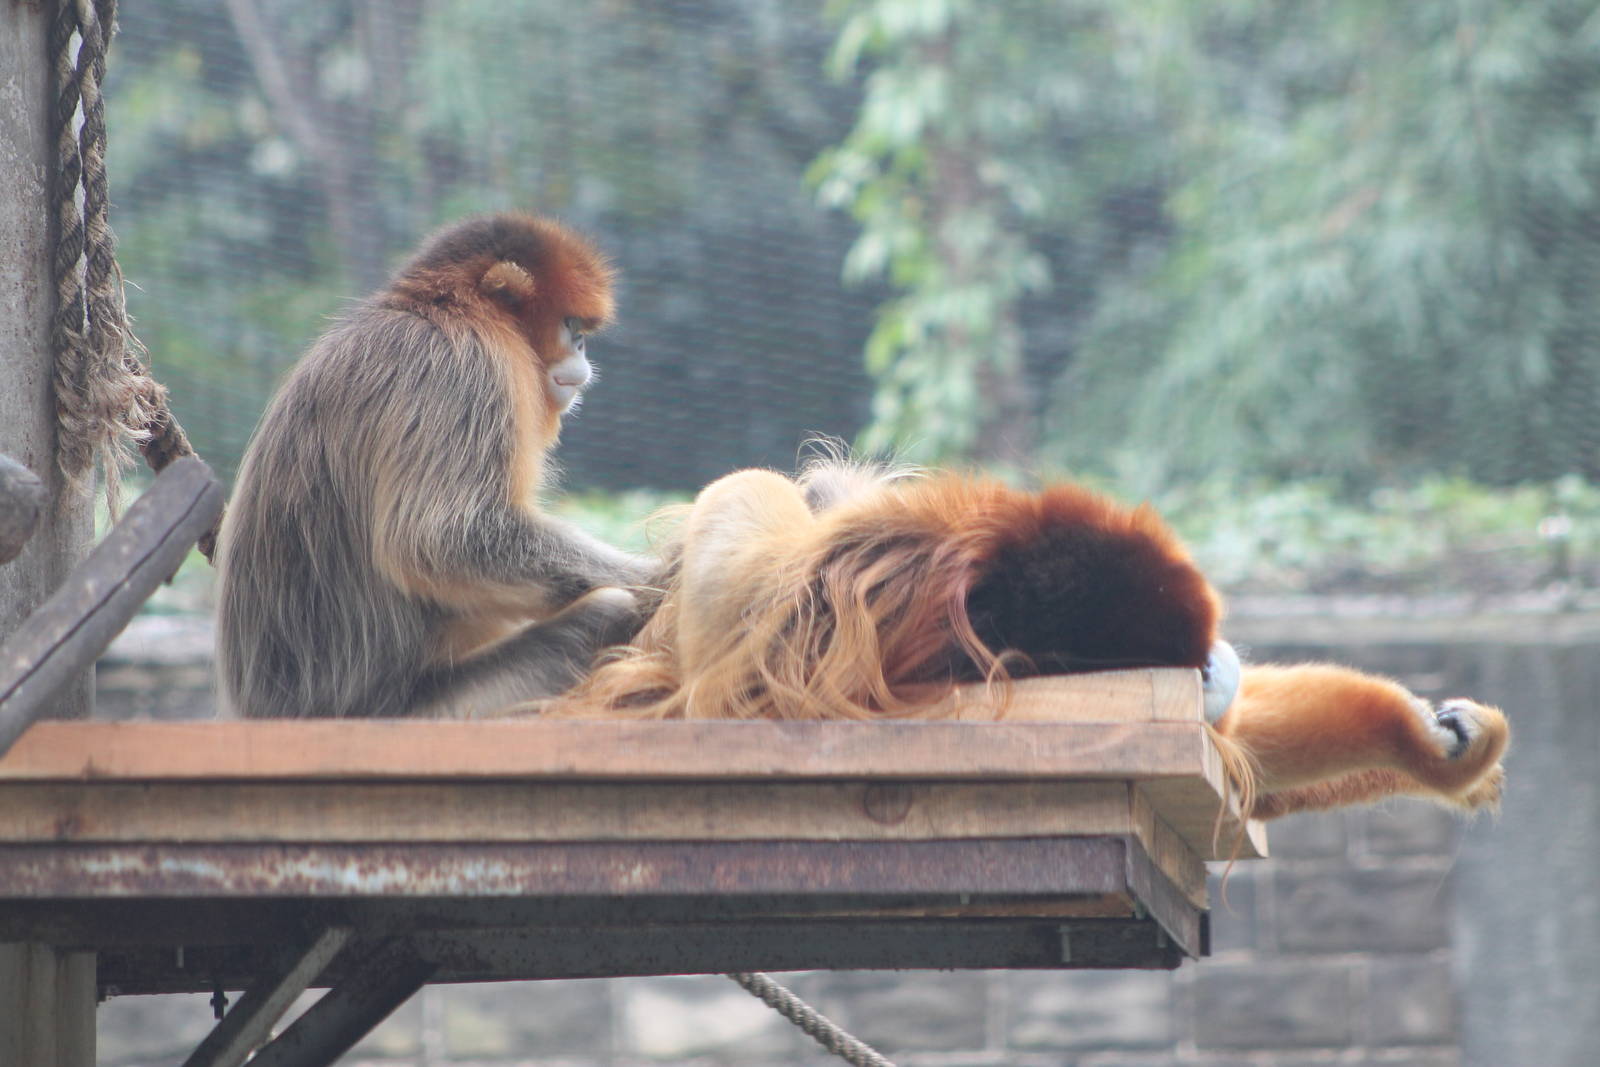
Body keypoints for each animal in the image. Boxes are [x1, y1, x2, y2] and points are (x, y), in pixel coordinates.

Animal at [216, 213, 655, 719]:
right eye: (571, 325)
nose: (582, 348)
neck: (442, 310)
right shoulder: (463, 370)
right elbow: (441, 540)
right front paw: (665, 574)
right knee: (606, 610)